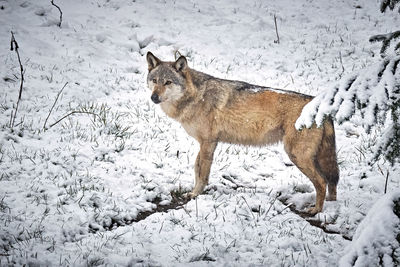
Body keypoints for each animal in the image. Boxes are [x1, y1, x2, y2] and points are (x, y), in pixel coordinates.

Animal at [145, 52, 340, 216]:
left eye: (168, 82)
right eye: (154, 80)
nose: (153, 97)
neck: (196, 96)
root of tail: (321, 106)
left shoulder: (208, 143)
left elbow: (202, 173)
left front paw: (195, 195)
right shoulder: (204, 143)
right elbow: (196, 168)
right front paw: (193, 192)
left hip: (297, 156)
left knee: (322, 182)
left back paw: (316, 210)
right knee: (332, 181)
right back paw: (331, 205)